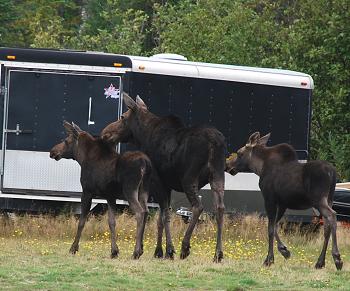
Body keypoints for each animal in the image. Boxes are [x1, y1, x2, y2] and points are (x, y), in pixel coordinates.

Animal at [49, 121, 152, 260]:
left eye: (66, 141)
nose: (53, 151)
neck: (82, 158)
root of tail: (145, 164)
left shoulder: (87, 191)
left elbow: (81, 221)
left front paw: (73, 248)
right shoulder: (110, 196)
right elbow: (112, 222)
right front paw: (114, 251)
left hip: (130, 190)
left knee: (140, 212)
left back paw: (135, 252)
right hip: (143, 191)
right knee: (146, 211)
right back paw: (140, 250)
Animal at [101, 93, 227, 262]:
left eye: (122, 117)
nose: (105, 133)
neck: (143, 137)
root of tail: (215, 143)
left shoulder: (157, 181)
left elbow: (164, 214)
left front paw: (168, 250)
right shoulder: (166, 185)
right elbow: (160, 218)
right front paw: (159, 251)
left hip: (189, 178)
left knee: (198, 206)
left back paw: (185, 247)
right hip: (218, 175)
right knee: (220, 207)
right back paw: (218, 253)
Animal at [226, 132, 344, 272]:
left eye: (239, 153)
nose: (228, 166)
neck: (259, 168)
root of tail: (332, 173)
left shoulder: (269, 199)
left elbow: (270, 228)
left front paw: (269, 259)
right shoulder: (282, 203)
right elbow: (275, 225)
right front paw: (284, 250)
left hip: (319, 200)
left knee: (332, 215)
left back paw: (337, 258)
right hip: (329, 198)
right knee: (326, 226)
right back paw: (320, 262)